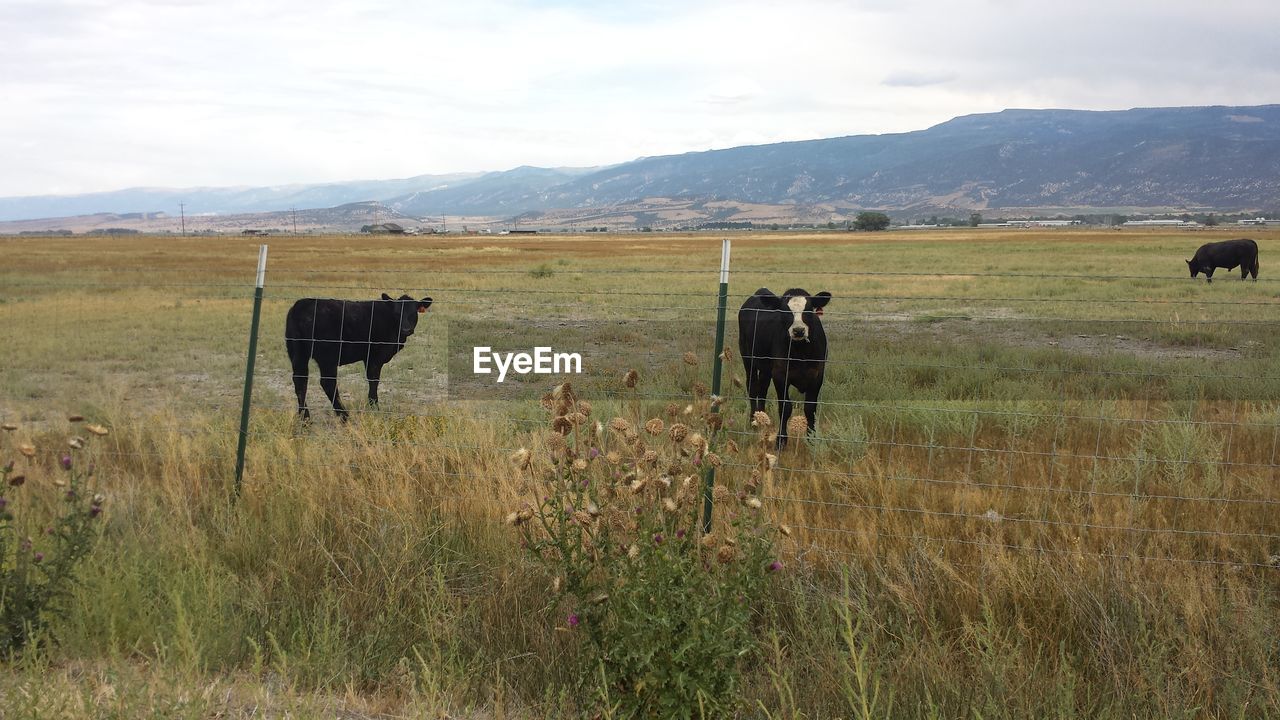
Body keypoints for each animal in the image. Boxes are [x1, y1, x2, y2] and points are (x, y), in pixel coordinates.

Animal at [286, 289, 435, 417]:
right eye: (397, 313)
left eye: (413, 313)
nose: (406, 329)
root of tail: (301, 305)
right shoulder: (375, 356)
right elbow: (374, 380)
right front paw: (375, 407)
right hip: (327, 356)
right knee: (328, 383)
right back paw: (344, 415)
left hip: (297, 353)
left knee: (300, 380)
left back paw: (305, 417)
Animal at [737, 286, 834, 445]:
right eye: (784, 311)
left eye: (809, 310)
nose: (798, 330)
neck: (800, 352)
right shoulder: (780, 375)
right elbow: (785, 407)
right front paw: (781, 440)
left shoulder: (817, 375)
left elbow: (810, 408)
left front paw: (812, 439)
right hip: (748, 359)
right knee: (752, 387)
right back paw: (754, 421)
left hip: (766, 368)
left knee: (762, 390)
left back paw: (762, 418)